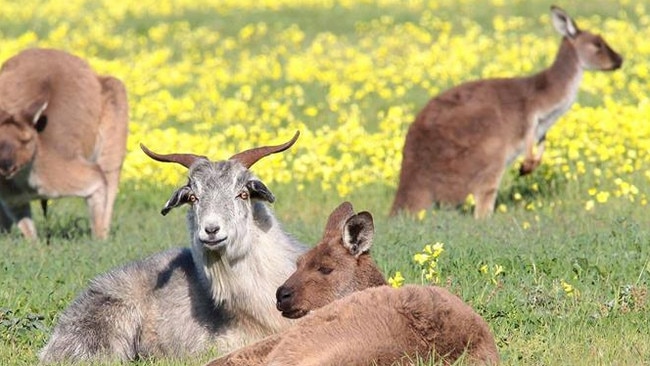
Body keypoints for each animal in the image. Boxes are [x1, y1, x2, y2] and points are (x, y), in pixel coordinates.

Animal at [0, 47, 128, 239]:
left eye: (26, 141)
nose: (6, 167)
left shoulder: (75, 174)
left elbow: (98, 183)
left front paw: (100, 240)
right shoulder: (10, 196)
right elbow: (25, 224)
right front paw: (33, 244)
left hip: (114, 101)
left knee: (110, 174)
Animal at [388, 6, 620, 217]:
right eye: (598, 45)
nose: (620, 60)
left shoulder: (542, 125)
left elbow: (541, 142)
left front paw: (529, 166)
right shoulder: (529, 113)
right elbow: (528, 134)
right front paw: (527, 165)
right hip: (487, 148)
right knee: (483, 197)